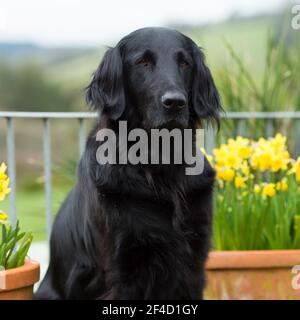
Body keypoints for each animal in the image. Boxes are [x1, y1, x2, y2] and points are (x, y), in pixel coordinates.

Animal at [36, 27, 221, 300]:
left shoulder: (194, 264)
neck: (159, 162)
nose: (175, 102)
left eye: (185, 63)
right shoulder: (122, 267)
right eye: (142, 62)